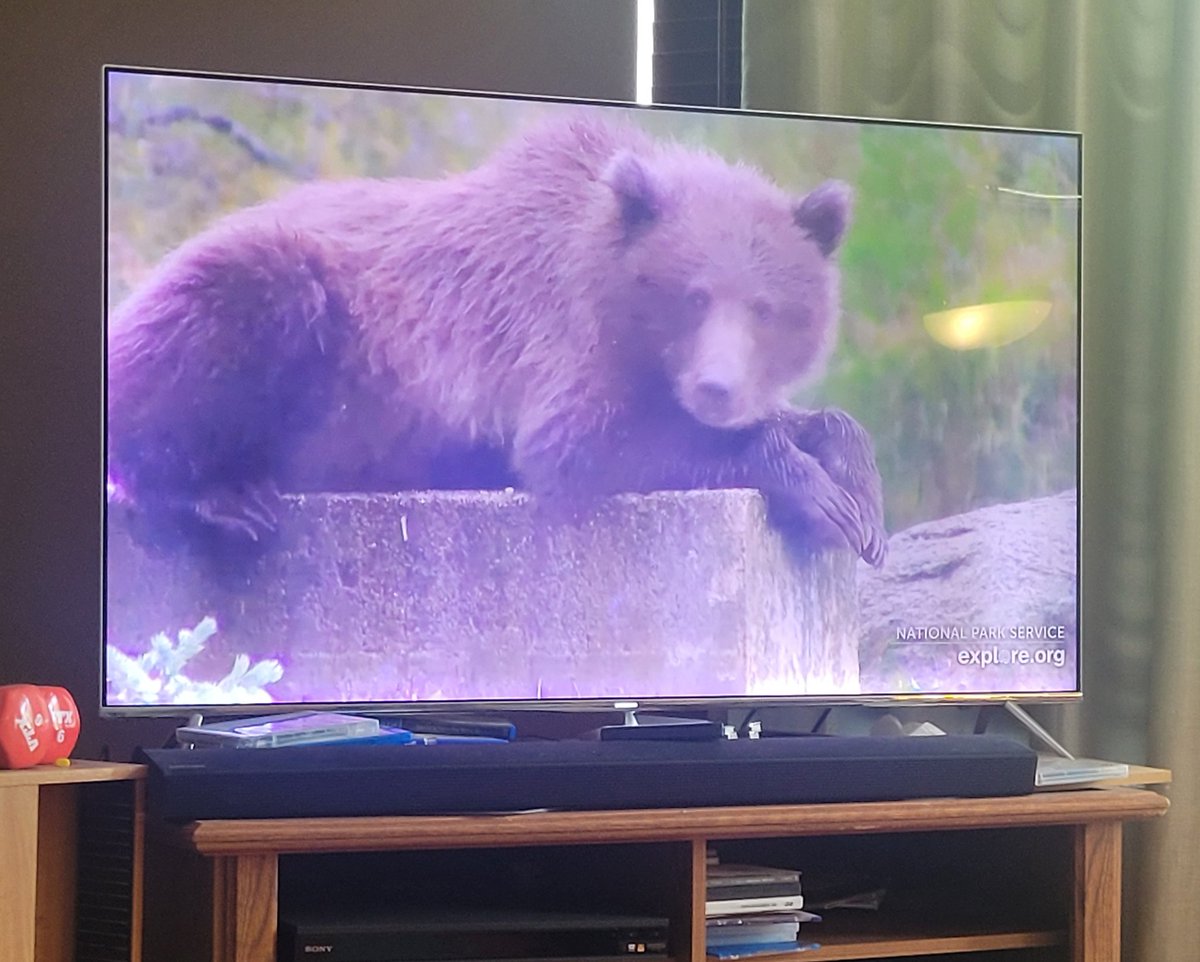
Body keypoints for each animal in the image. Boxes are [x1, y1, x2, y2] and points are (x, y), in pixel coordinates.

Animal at [107, 115, 887, 566]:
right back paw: (225, 497)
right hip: (282, 304)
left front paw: (859, 496)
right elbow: (587, 444)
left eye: (765, 307)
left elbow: (819, 421)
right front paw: (819, 496)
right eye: (692, 297)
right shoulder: (551, 339)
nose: (716, 387)